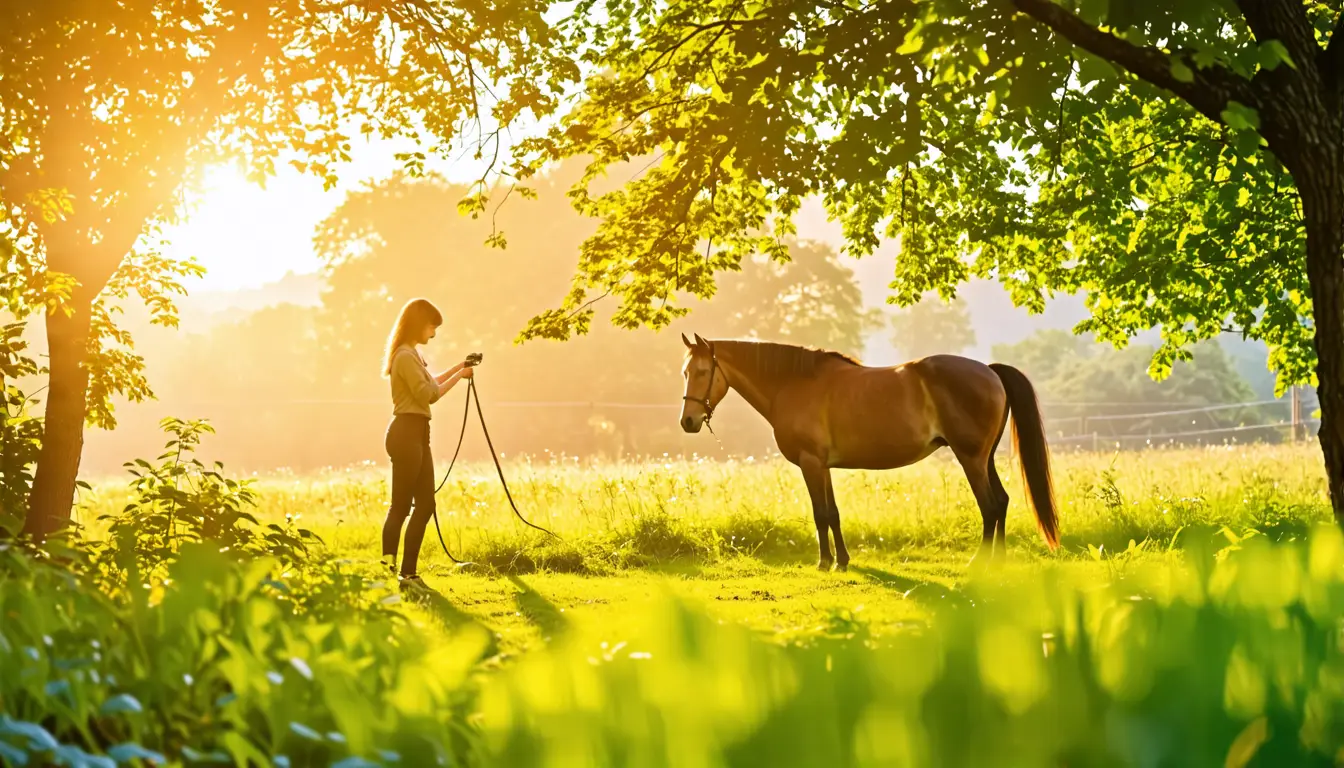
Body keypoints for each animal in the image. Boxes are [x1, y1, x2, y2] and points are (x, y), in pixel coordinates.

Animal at [677, 334, 1053, 570]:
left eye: (702, 371)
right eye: (685, 372)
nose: (688, 421)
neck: (794, 383)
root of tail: (989, 370)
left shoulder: (810, 463)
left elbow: (820, 514)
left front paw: (824, 562)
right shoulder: (823, 466)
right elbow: (833, 514)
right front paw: (842, 561)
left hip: (971, 458)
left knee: (989, 507)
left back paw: (980, 562)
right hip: (985, 459)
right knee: (1002, 502)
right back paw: (998, 561)